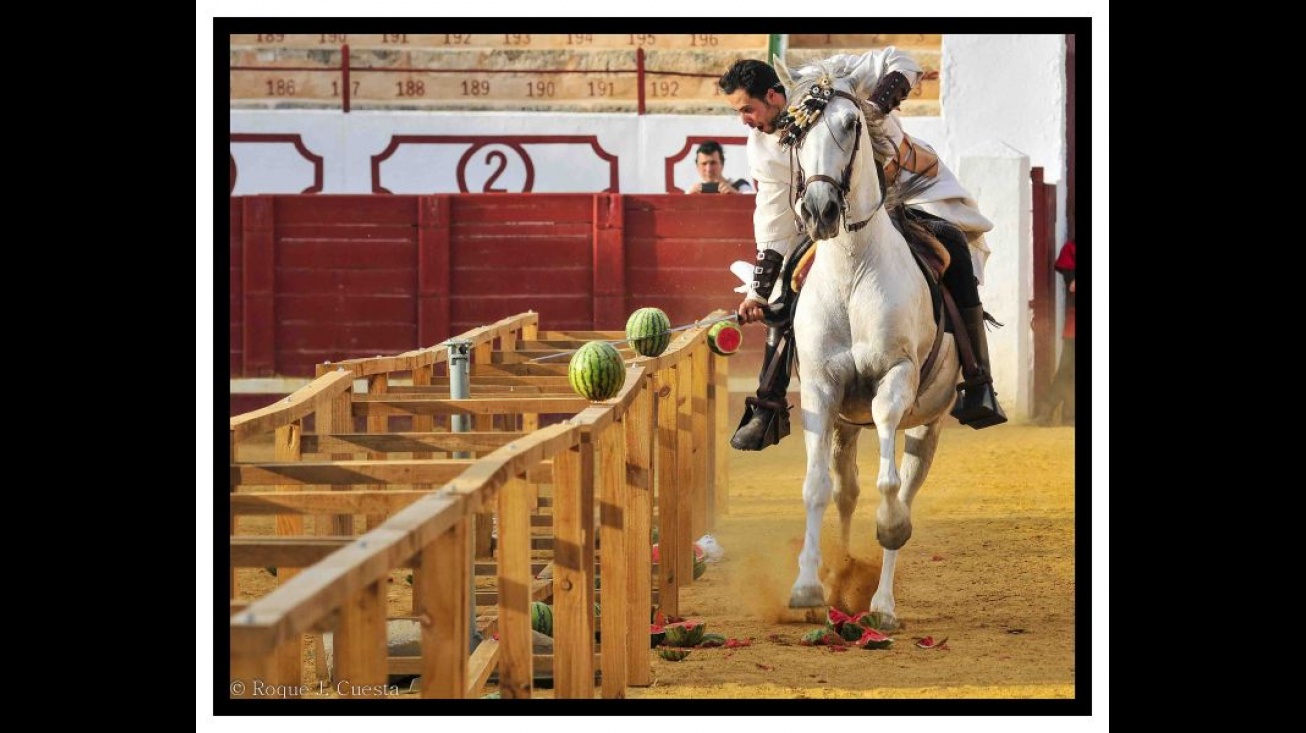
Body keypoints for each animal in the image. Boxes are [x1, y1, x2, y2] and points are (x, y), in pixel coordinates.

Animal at [778, 62, 966, 629]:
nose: (820, 209)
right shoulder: (820, 389)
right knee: (845, 492)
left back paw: (881, 604)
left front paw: (888, 538)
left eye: (851, 123)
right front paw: (807, 588)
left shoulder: (896, 377)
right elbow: (816, 487)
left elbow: (891, 492)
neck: (852, 269)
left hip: (929, 422)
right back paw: (841, 576)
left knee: (904, 486)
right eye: (792, 134)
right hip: (844, 425)